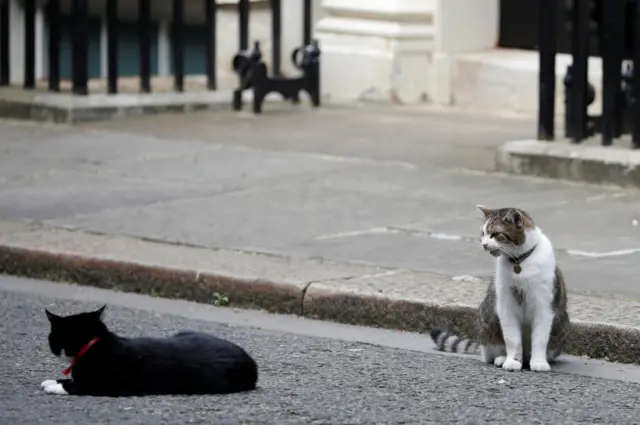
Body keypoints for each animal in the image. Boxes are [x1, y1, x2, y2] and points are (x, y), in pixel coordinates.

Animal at [40, 304, 258, 396]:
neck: (93, 344)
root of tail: (252, 363)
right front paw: (51, 380)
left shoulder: (108, 386)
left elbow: (76, 386)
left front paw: (55, 386)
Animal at [430, 205, 568, 372]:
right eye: (483, 233)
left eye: (496, 234)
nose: (484, 244)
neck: (519, 261)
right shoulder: (506, 306)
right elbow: (512, 339)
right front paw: (512, 361)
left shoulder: (544, 307)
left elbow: (540, 339)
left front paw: (539, 362)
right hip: (487, 321)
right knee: (491, 352)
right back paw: (502, 358)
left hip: (561, 328)